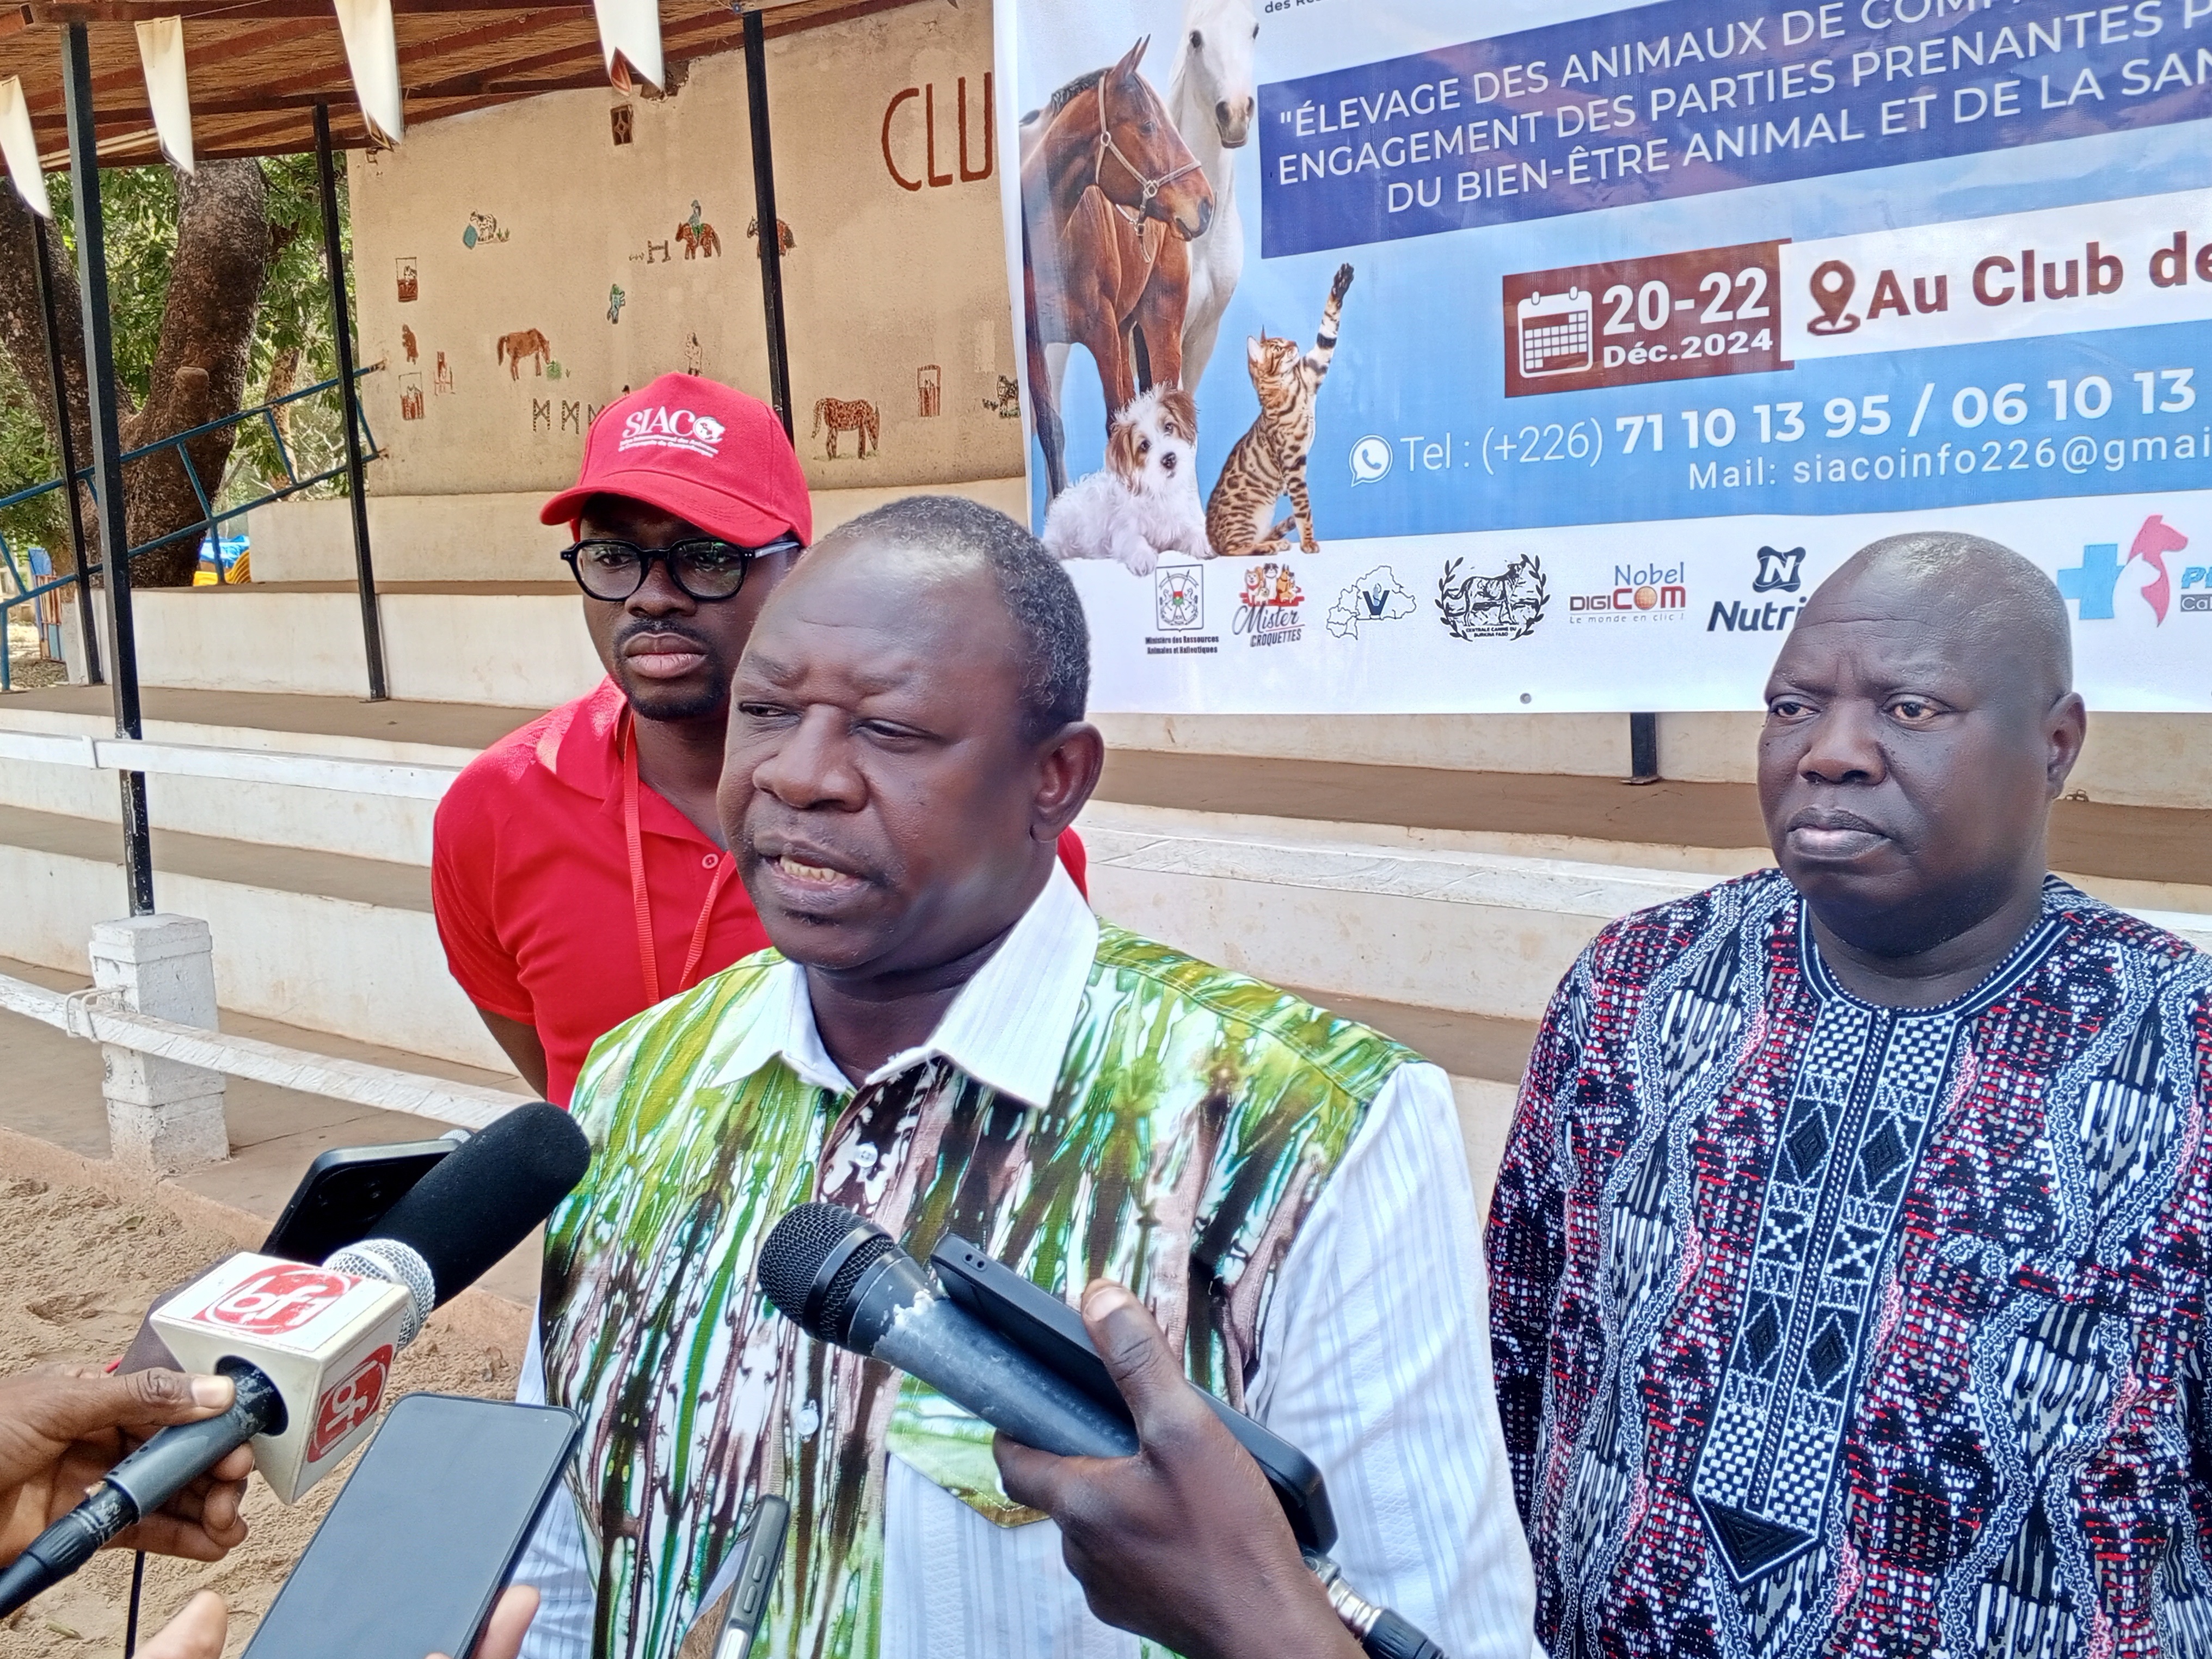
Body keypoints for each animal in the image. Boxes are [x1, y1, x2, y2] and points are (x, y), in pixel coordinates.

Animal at [1017, 35, 1212, 497]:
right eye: (1147, 125)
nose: (1205, 203)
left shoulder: (1101, 333)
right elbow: (1052, 431)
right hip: (1126, 332)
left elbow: (1117, 424)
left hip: (1161, 324)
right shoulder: (1035, 341)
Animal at [1040, 389, 1212, 579]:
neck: (1158, 490)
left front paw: (1206, 541)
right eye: (1144, 446)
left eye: (1169, 427)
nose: (1170, 459)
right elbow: (1136, 541)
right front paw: (1143, 557)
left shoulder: (1176, 529)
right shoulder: (1124, 531)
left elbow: (1192, 531)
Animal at [1203, 264, 1354, 560]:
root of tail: (1211, 540)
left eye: (1284, 340)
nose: (1293, 342)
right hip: (1245, 520)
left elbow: (1328, 328)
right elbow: (1304, 508)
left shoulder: (1315, 365)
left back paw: (1277, 540)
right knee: (1235, 550)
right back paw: (1267, 546)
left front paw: (1341, 284)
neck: (1290, 385)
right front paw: (1309, 542)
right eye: (1277, 347)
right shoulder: (1293, 463)